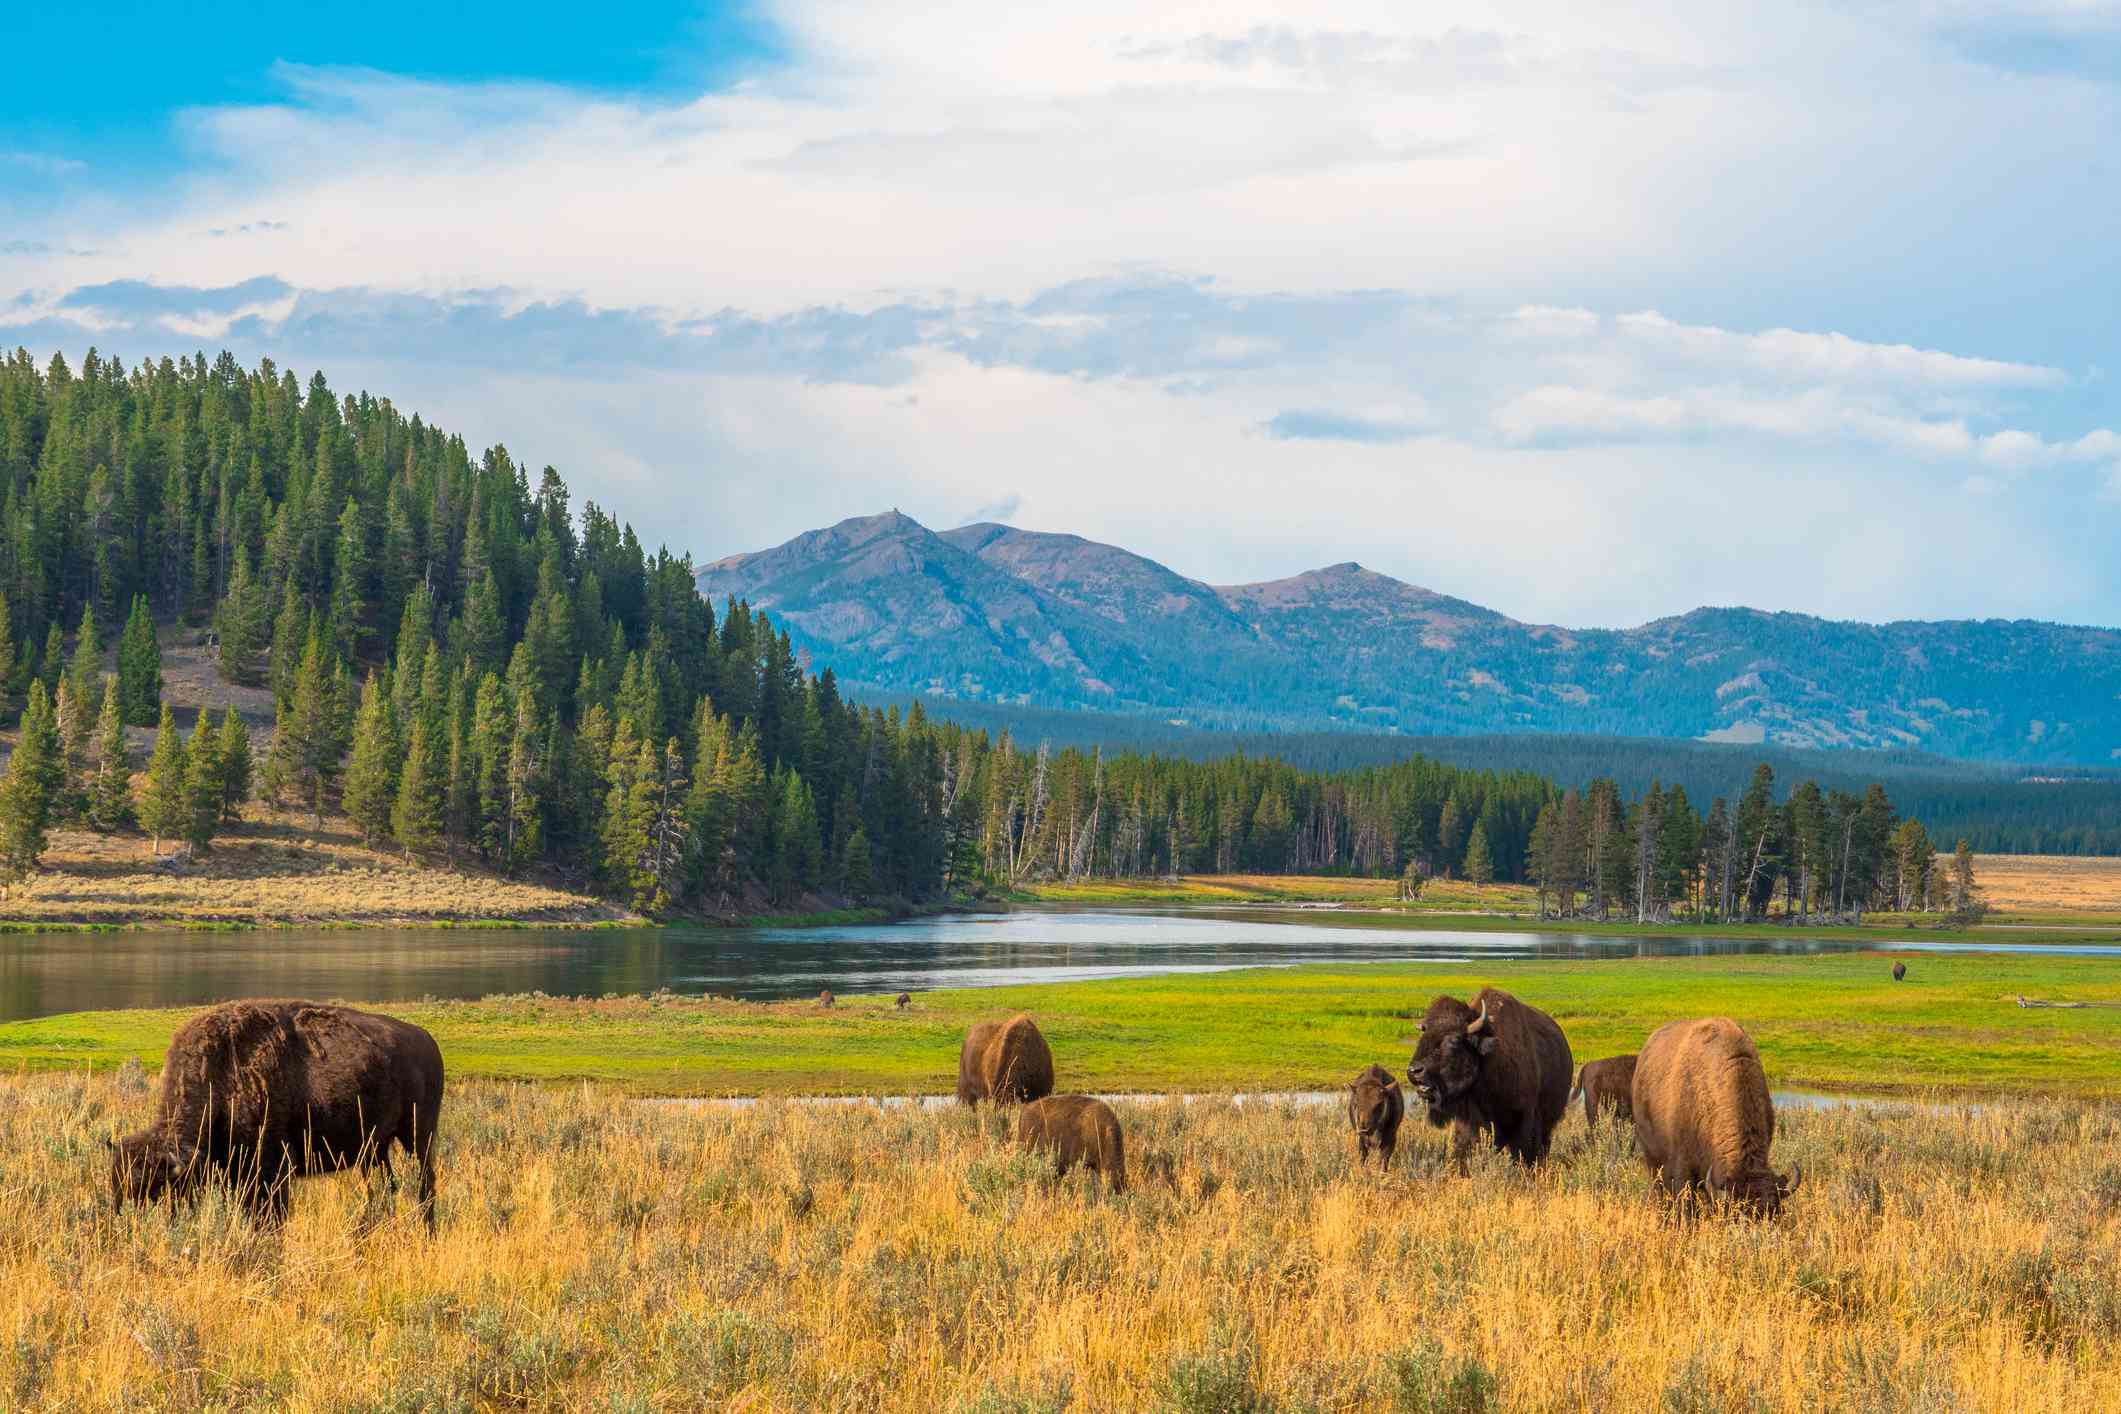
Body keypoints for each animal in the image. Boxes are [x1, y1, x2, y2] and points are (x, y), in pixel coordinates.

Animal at [107, 1004, 443, 1229]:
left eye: (156, 1191)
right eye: (117, 1189)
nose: (132, 1227)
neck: (222, 1075)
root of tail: (427, 1039)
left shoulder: (273, 1169)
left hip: (418, 1136)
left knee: (424, 1182)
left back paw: (426, 1228)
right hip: (375, 1149)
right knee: (386, 1185)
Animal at [1408, 992, 1578, 1170]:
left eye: (1454, 1040)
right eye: (1423, 1035)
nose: (1414, 1071)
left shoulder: (1524, 1118)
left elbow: (1522, 1151)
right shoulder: (1468, 1122)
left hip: (1549, 1121)